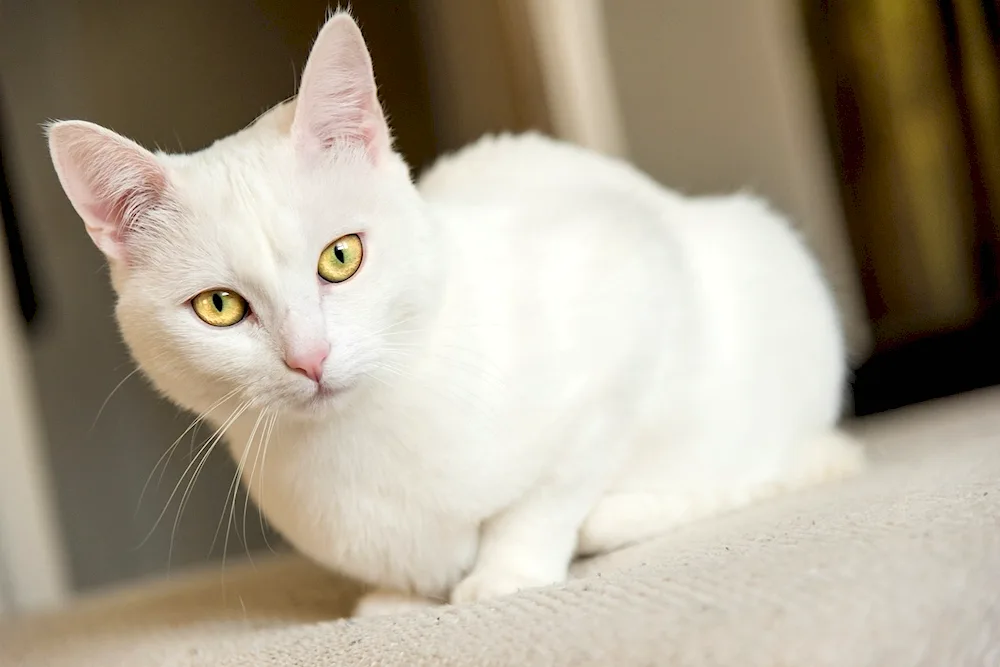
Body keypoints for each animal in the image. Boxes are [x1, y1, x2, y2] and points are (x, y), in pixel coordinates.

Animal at [45, 11, 860, 616]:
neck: (359, 447)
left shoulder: (635, 282)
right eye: (219, 306)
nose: (309, 356)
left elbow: (552, 488)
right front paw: (396, 599)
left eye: (341, 257)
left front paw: (506, 572)